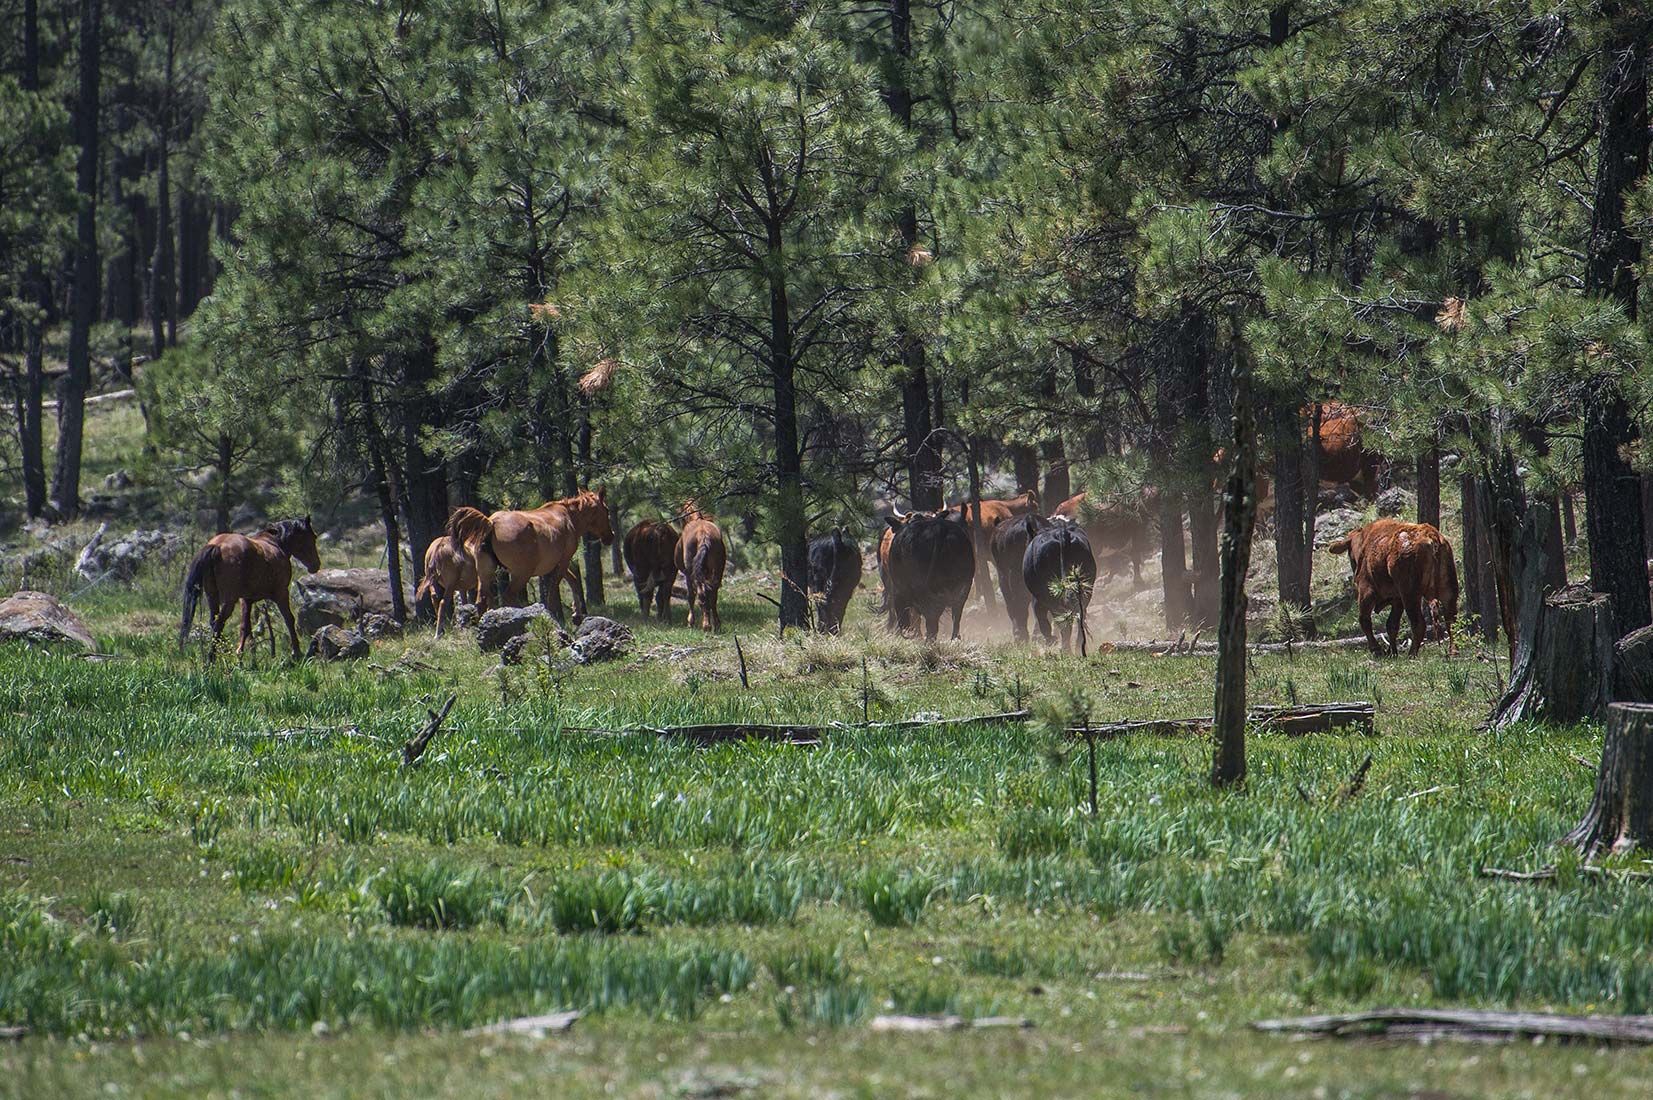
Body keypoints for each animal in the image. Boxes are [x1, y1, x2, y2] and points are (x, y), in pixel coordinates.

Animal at [179, 517, 321, 661]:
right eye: (313, 537)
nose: (316, 565)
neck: (275, 543)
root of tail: (217, 546)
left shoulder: (246, 600)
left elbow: (245, 627)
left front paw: (243, 656)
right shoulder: (281, 593)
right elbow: (289, 619)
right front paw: (296, 652)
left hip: (212, 596)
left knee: (214, 623)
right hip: (229, 601)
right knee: (218, 624)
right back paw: (211, 659)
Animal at [448, 489, 614, 623]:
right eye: (607, 510)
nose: (610, 537)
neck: (569, 517)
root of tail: (490, 523)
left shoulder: (557, 564)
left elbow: (573, 581)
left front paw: (576, 614)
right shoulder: (563, 561)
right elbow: (554, 590)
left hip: (485, 573)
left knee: (481, 601)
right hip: (522, 573)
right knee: (508, 596)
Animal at [885, 509, 975, 641]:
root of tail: (940, 529)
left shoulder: (898, 591)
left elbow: (905, 619)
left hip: (923, 590)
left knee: (931, 619)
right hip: (964, 585)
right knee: (956, 615)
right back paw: (954, 639)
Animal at [1023, 519, 1097, 652]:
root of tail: (1061, 533)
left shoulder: (1037, 601)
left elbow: (1043, 622)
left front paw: (1051, 640)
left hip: (1050, 597)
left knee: (1063, 624)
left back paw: (1066, 649)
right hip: (1086, 590)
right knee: (1080, 616)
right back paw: (1078, 646)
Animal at [1327, 518, 1458, 656]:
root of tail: (1430, 534)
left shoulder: (1366, 592)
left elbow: (1364, 620)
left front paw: (1377, 649)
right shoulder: (1397, 599)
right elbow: (1391, 625)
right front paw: (1392, 652)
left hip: (1410, 595)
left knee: (1419, 623)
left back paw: (1411, 654)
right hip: (1448, 590)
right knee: (1451, 619)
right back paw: (1453, 651)